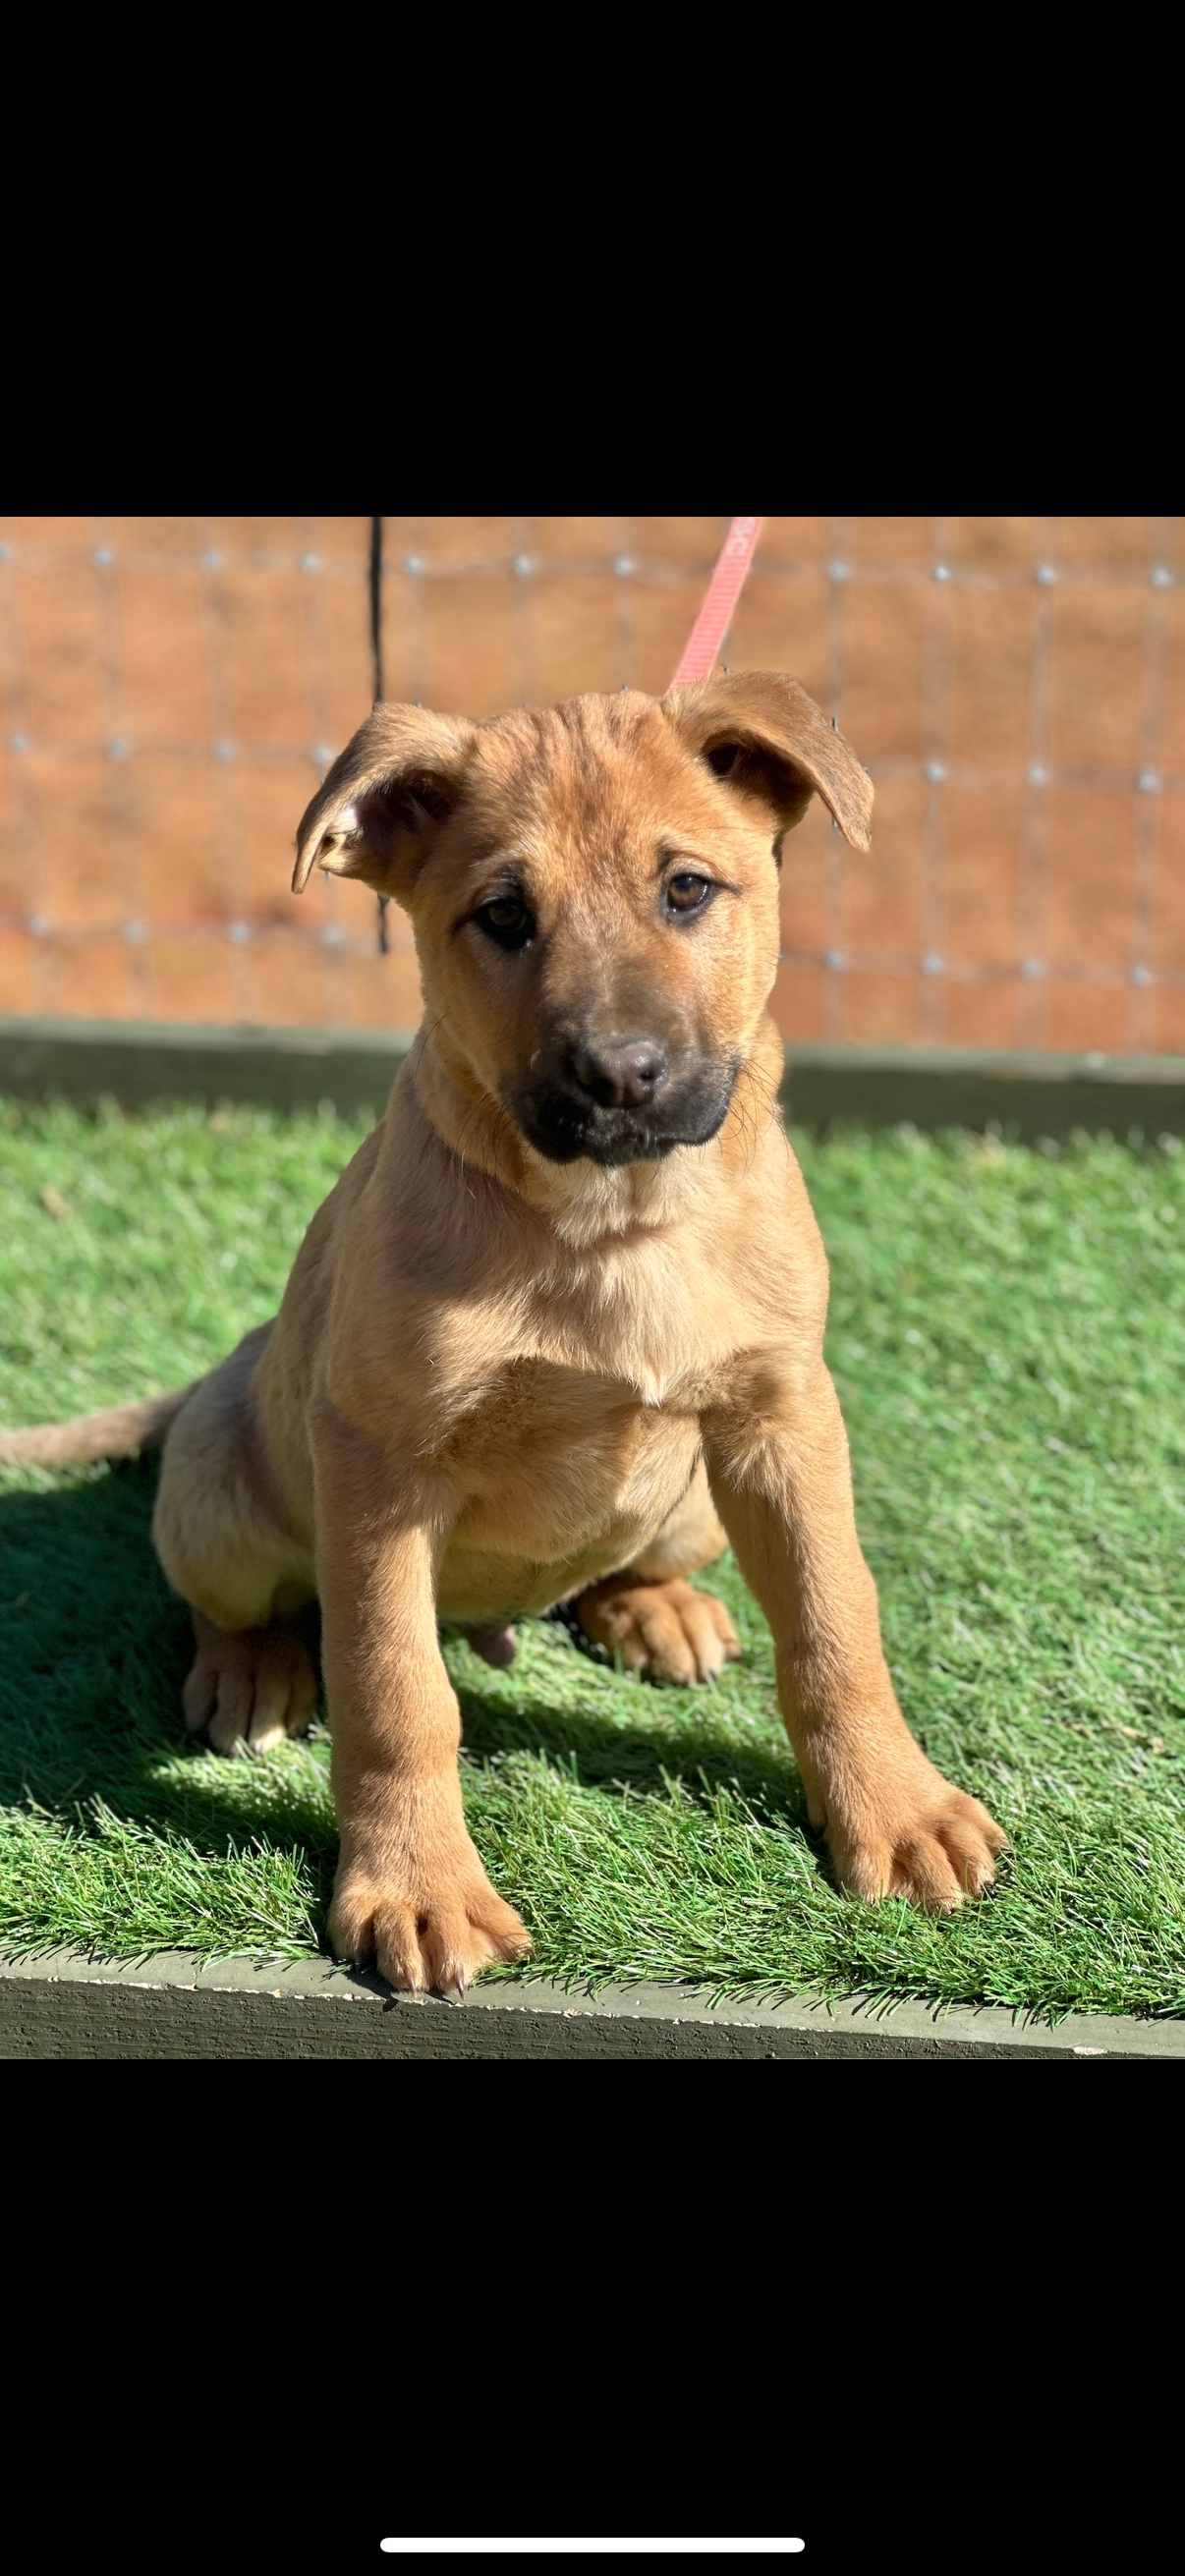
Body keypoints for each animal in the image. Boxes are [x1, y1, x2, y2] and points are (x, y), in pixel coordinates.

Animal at [2, 671, 1006, 1988]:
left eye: (688, 889)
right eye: (502, 915)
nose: (620, 1076)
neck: (616, 1227)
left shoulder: (783, 1414)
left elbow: (835, 1625)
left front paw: (897, 1813)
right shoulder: (379, 1466)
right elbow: (395, 1693)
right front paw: (418, 1890)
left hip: (697, 1490)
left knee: (631, 1568)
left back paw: (654, 1608)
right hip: (219, 1493)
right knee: (236, 1601)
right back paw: (250, 1675)